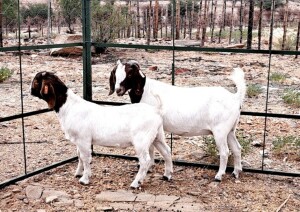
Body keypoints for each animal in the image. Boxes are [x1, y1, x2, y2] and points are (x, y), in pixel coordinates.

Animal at [29, 71, 173, 187]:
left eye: (36, 81)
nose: (30, 91)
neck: (69, 106)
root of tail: (156, 110)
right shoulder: (78, 141)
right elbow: (79, 156)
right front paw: (78, 173)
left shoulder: (83, 140)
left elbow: (86, 158)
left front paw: (84, 179)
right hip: (157, 136)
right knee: (166, 151)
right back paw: (167, 175)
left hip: (141, 141)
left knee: (145, 161)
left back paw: (136, 183)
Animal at [108, 59, 246, 181]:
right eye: (115, 74)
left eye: (130, 74)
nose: (118, 90)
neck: (146, 90)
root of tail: (235, 98)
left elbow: (150, 147)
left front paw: (149, 166)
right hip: (230, 130)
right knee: (237, 148)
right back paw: (236, 172)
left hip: (220, 131)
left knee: (225, 152)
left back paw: (219, 176)